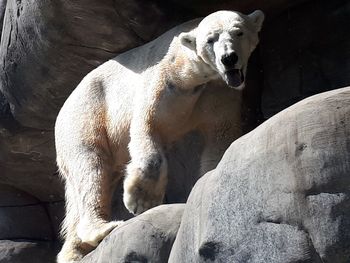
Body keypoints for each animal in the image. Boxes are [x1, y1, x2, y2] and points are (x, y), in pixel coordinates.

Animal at [55, 9, 262, 262]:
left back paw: (74, 251)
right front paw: (141, 200)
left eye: (238, 32)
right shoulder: (163, 82)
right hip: (84, 117)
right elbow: (147, 128)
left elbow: (219, 137)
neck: (191, 76)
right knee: (91, 167)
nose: (229, 58)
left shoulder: (217, 94)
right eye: (210, 40)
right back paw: (101, 228)